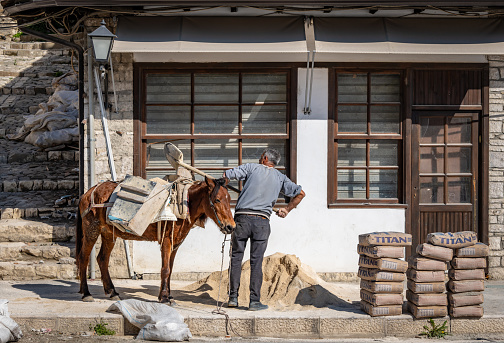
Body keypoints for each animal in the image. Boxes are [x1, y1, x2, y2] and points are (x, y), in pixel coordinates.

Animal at [75, 177, 236, 304]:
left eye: (229, 199)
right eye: (217, 199)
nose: (231, 227)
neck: (182, 205)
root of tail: (87, 193)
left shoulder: (175, 244)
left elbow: (170, 269)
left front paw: (168, 296)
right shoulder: (166, 241)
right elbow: (165, 269)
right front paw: (164, 298)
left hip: (109, 234)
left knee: (102, 259)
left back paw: (112, 292)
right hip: (92, 230)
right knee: (83, 258)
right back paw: (86, 293)